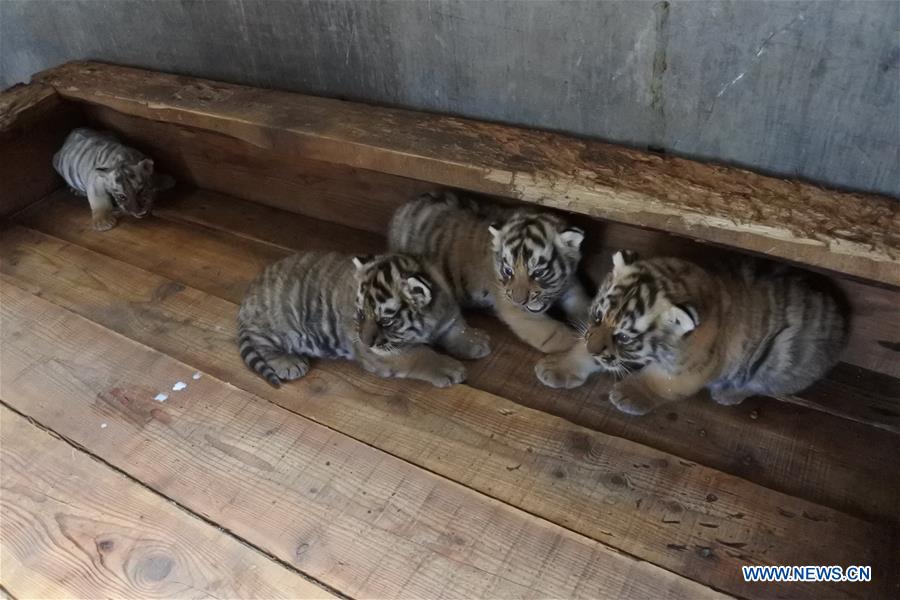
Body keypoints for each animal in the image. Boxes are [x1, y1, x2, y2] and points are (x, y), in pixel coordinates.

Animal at [238, 251, 491, 388]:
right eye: (360, 314)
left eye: (385, 321)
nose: (364, 342)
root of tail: (249, 294)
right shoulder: (386, 354)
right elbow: (421, 354)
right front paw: (450, 368)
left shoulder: (446, 314)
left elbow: (458, 328)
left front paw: (478, 341)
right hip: (278, 325)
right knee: (262, 344)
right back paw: (289, 363)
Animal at [388, 191, 590, 354]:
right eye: (508, 271)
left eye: (538, 273)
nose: (519, 301)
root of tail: (403, 207)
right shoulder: (516, 309)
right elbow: (557, 334)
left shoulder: (570, 283)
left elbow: (582, 303)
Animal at [535, 251, 849, 415]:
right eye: (598, 316)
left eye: (624, 337)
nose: (593, 348)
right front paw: (556, 366)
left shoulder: (690, 370)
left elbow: (658, 381)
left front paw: (628, 393)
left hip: (783, 360)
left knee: (763, 385)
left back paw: (728, 393)